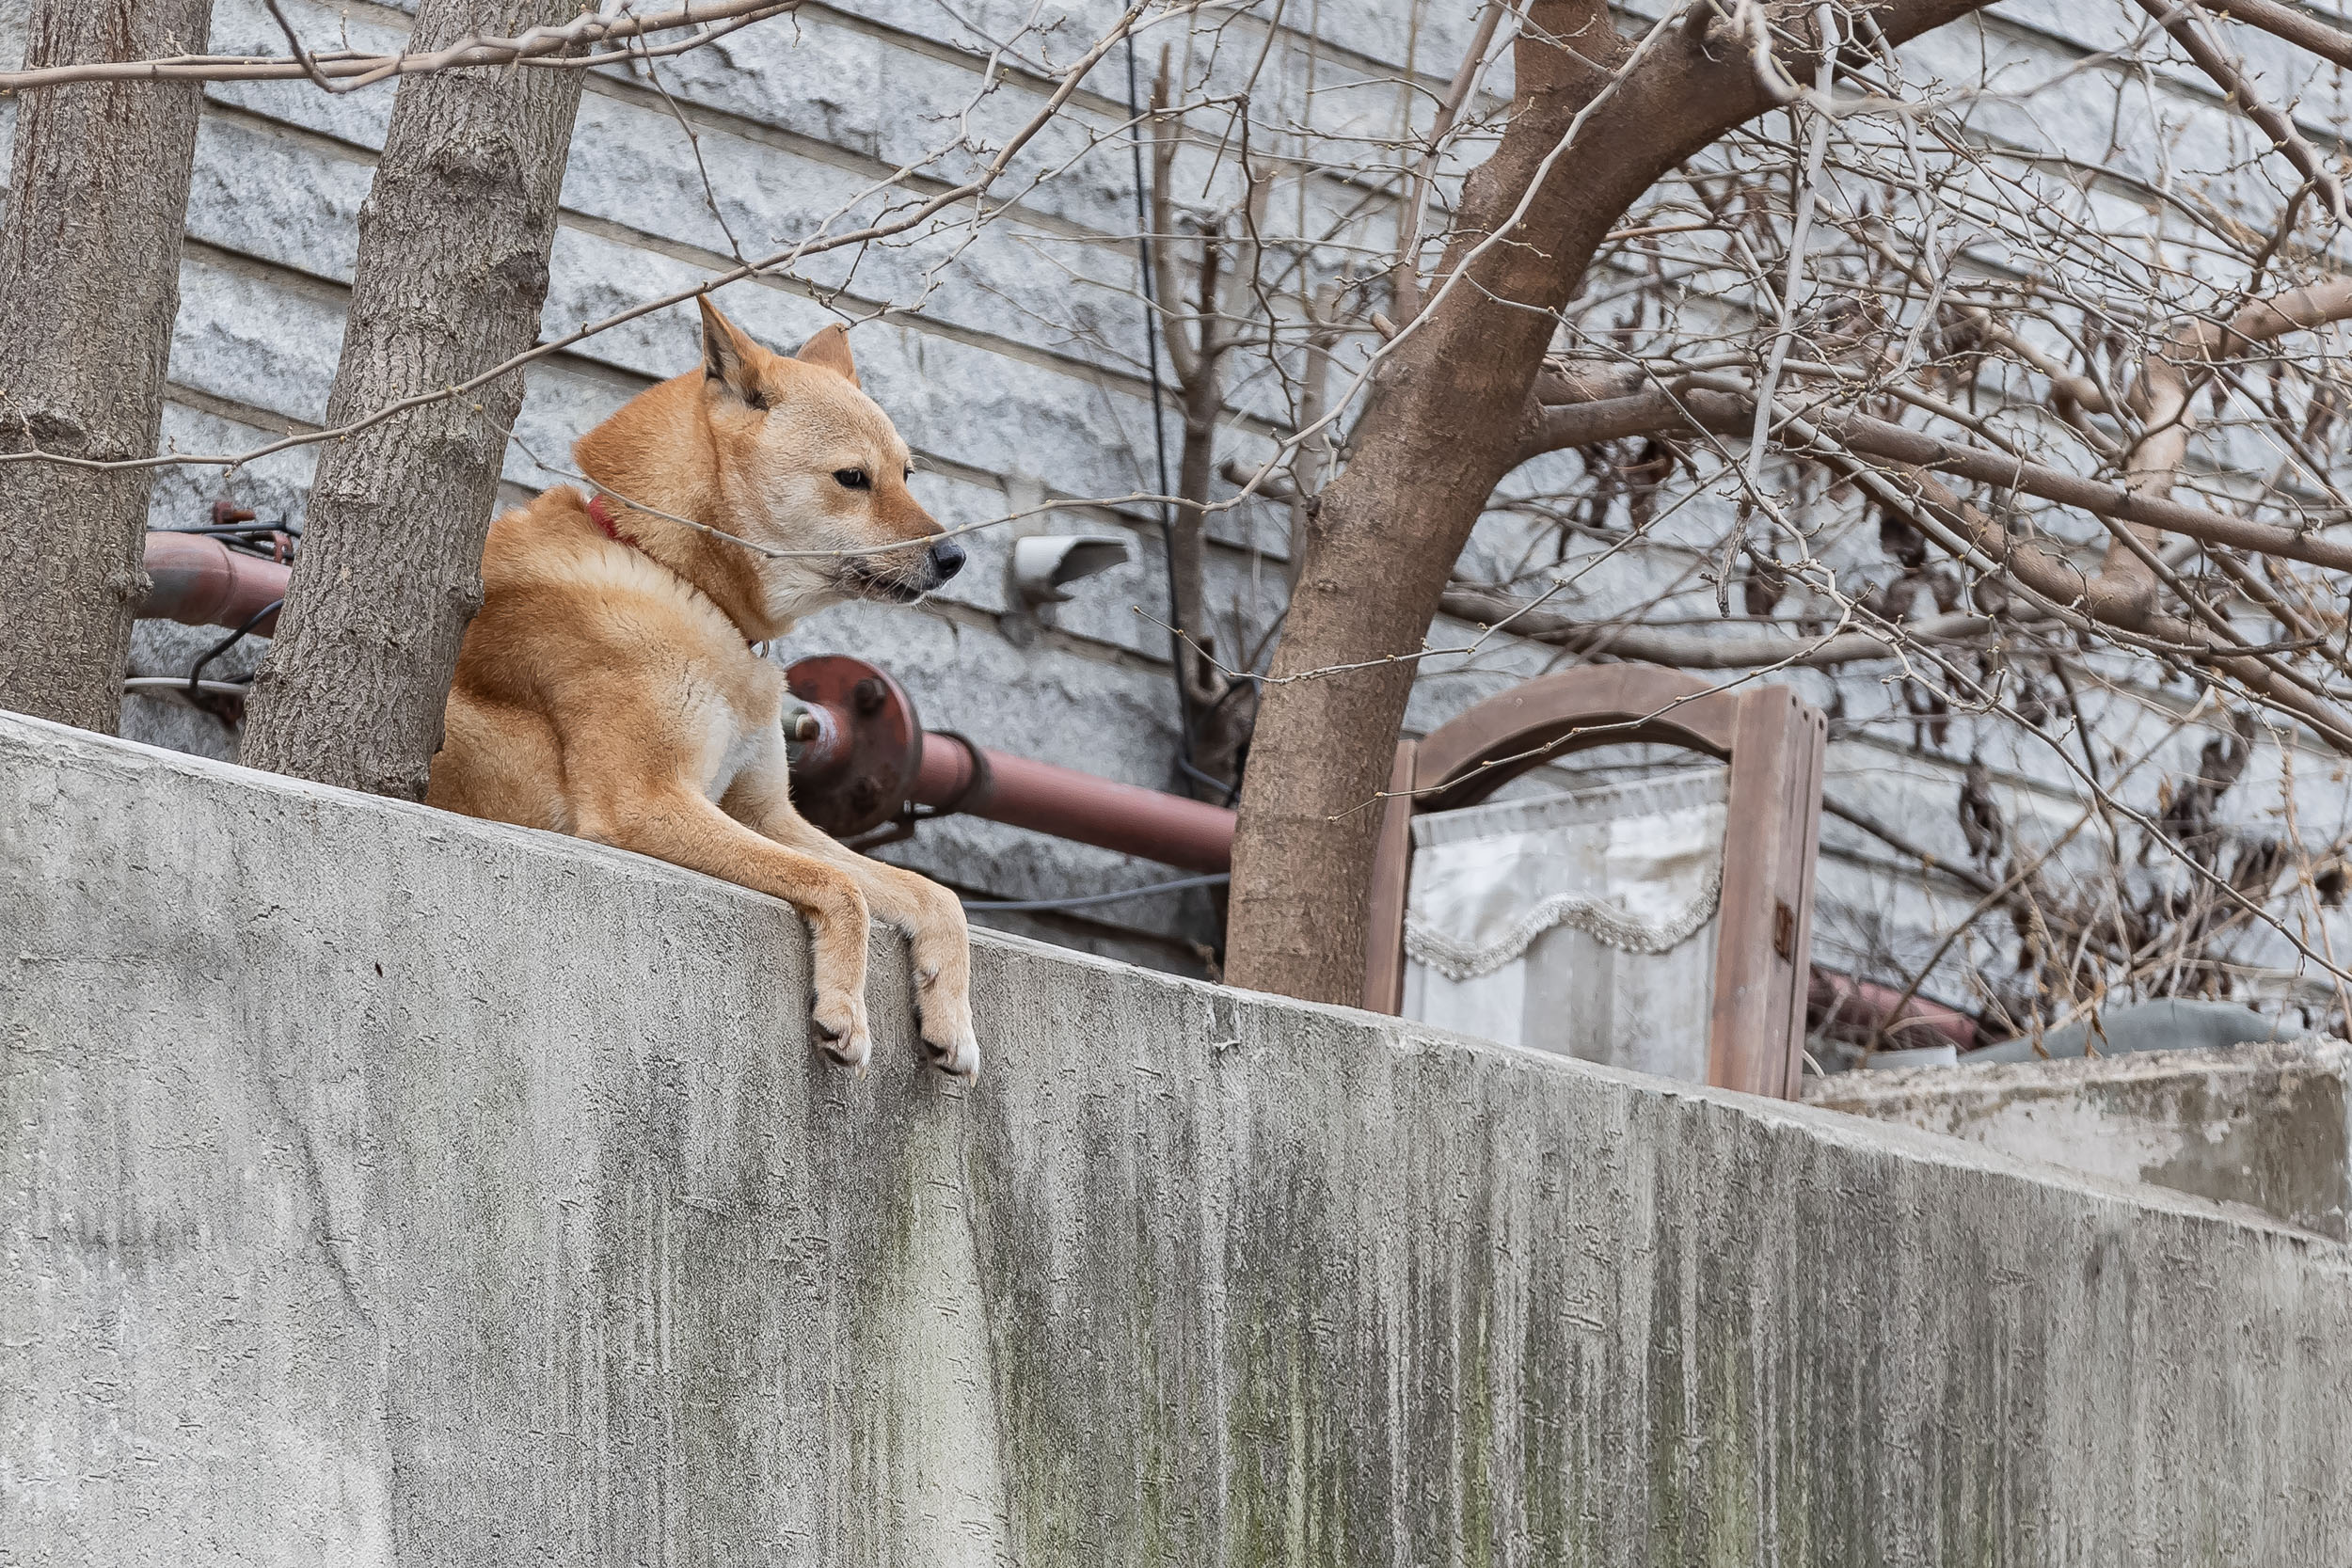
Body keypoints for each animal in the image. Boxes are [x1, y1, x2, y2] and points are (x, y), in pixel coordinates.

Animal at [428, 293, 978, 1081]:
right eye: (853, 478)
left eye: (907, 473)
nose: (955, 555)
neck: (677, 574)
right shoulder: (650, 802)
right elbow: (844, 891)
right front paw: (846, 1008)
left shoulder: (766, 814)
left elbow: (933, 896)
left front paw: (951, 1014)